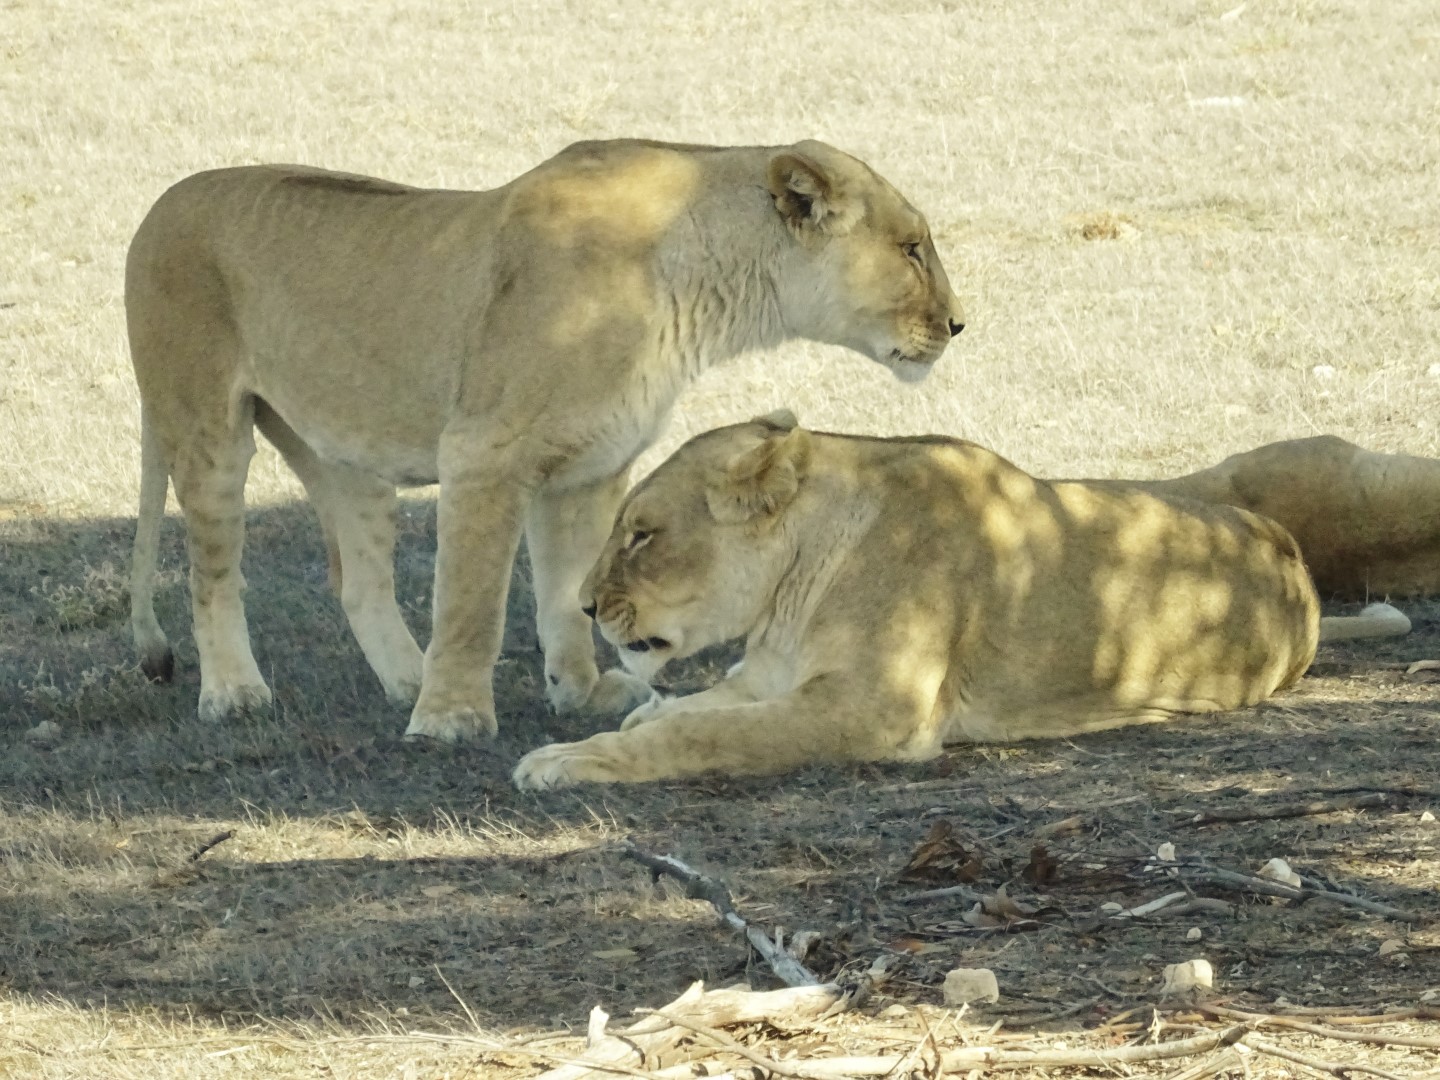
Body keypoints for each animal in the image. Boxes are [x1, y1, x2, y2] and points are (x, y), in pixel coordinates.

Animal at [126, 137, 967, 743]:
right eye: (912, 249)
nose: (959, 324)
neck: (701, 284)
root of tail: (160, 202)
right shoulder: (483, 453)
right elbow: (473, 602)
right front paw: (450, 719)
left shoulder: (589, 465)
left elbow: (568, 590)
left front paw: (579, 691)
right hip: (206, 428)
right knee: (211, 575)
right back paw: (237, 694)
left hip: (345, 455)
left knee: (358, 579)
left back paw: (406, 679)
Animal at [515, 411, 1405, 789]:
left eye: (641, 534)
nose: (586, 607)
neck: (788, 594)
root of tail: (1301, 575)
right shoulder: (769, 678)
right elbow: (691, 712)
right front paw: (628, 723)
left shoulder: (873, 710)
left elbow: (702, 735)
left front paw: (571, 759)